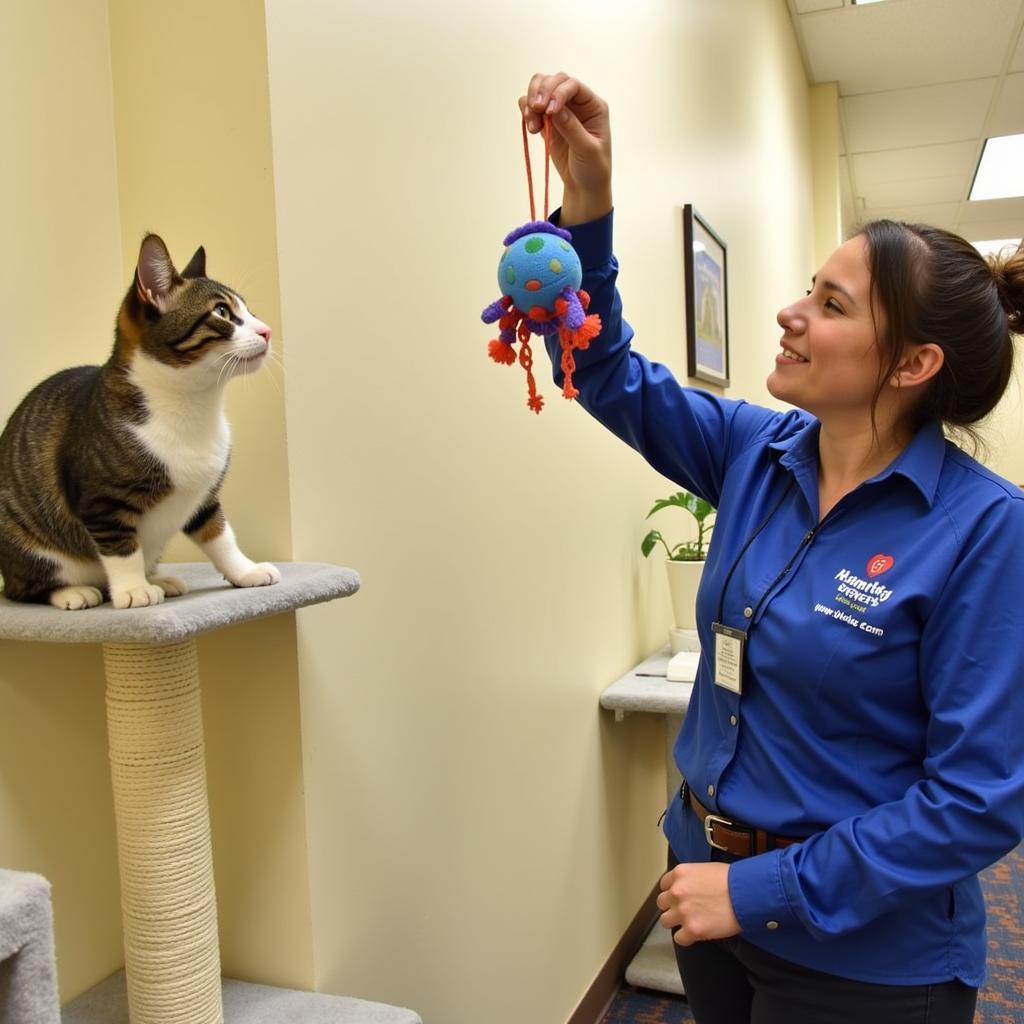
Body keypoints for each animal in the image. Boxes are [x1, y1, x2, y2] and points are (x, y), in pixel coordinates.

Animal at [0, 233, 280, 610]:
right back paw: (75, 592)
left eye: (250, 312)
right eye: (222, 312)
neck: (193, 406)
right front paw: (133, 589)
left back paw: (159, 577)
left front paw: (246, 570)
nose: (267, 331)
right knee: (25, 588)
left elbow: (220, 534)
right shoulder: (101, 500)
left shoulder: (204, 496)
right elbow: (122, 548)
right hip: (24, 541)